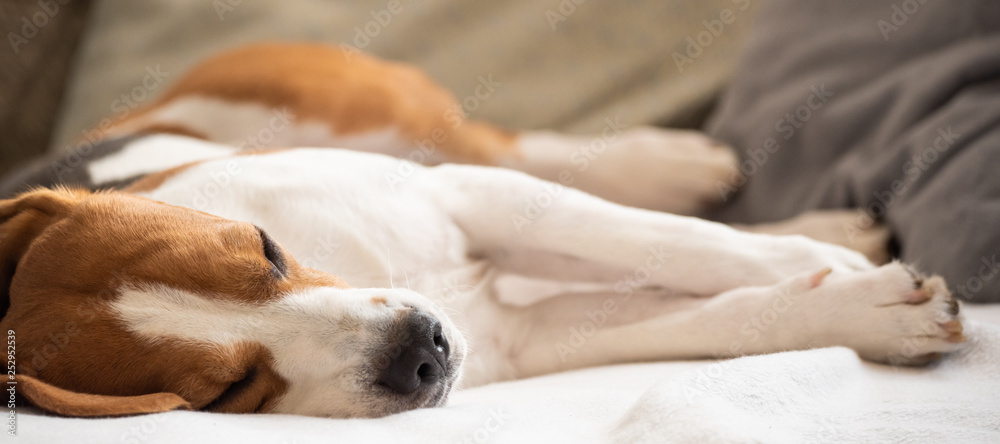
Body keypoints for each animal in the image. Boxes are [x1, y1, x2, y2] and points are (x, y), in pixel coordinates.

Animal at [3, 43, 964, 418]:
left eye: (264, 250)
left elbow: (684, 246)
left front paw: (820, 257)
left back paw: (681, 166)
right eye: (224, 392)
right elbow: (728, 316)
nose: (418, 350)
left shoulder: (473, 198)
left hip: (376, 113)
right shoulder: (526, 336)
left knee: (517, 147)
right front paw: (867, 311)